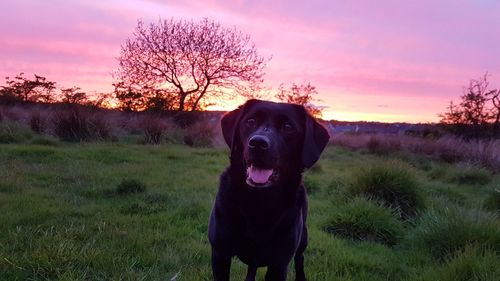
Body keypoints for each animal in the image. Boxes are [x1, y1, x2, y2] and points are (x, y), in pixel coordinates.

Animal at [208, 99, 330, 278]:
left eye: (288, 126)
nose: (258, 143)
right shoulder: (220, 254)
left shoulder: (279, 264)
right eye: (250, 121)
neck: (259, 203)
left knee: (300, 259)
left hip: (303, 240)